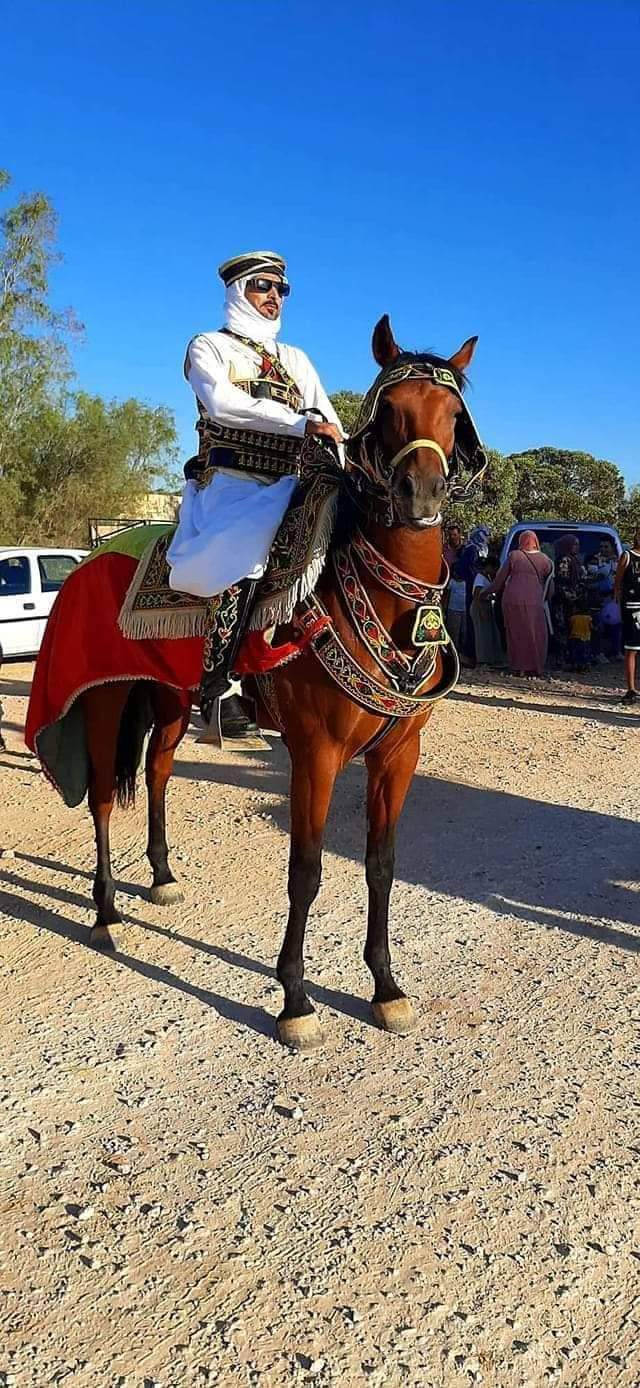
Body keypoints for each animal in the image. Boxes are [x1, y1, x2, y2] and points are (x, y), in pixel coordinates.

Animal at [79, 315, 477, 1043]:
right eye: (389, 411)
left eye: (453, 414)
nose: (423, 495)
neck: (378, 600)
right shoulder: (314, 753)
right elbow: (307, 870)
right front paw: (294, 998)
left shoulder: (398, 753)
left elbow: (381, 865)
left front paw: (385, 988)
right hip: (105, 700)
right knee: (99, 798)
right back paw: (105, 913)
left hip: (171, 703)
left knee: (157, 774)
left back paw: (162, 875)